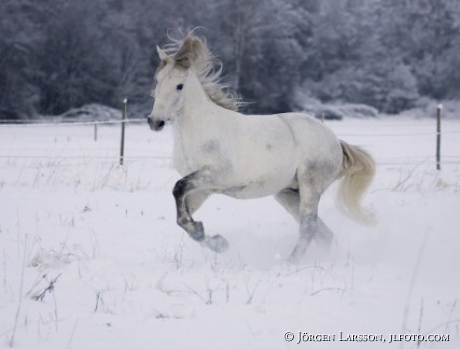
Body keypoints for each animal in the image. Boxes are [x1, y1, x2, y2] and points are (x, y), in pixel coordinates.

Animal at [149, 32, 376, 260]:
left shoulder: (214, 175)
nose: (155, 122)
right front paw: (217, 242)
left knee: (309, 228)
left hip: (310, 185)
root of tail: (335, 141)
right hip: (289, 193)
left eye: (179, 85)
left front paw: (213, 239)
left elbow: (178, 188)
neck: (197, 131)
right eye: (157, 80)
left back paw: (290, 263)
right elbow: (182, 218)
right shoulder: (202, 188)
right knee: (324, 234)